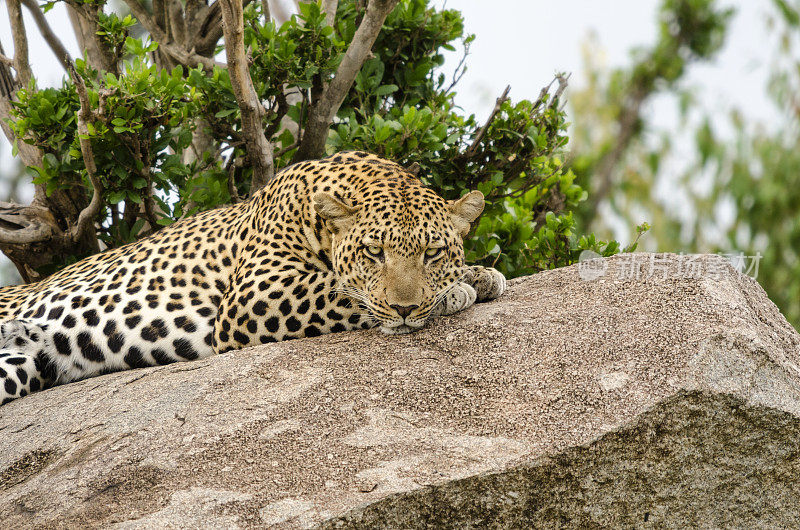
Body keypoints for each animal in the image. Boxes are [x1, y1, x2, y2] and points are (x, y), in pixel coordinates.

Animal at [0, 151, 504, 402]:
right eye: (373, 252)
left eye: (432, 253)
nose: (404, 309)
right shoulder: (256, 294)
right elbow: (345, 292)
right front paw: (457, 291)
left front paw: (478, 275)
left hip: (24, 365)